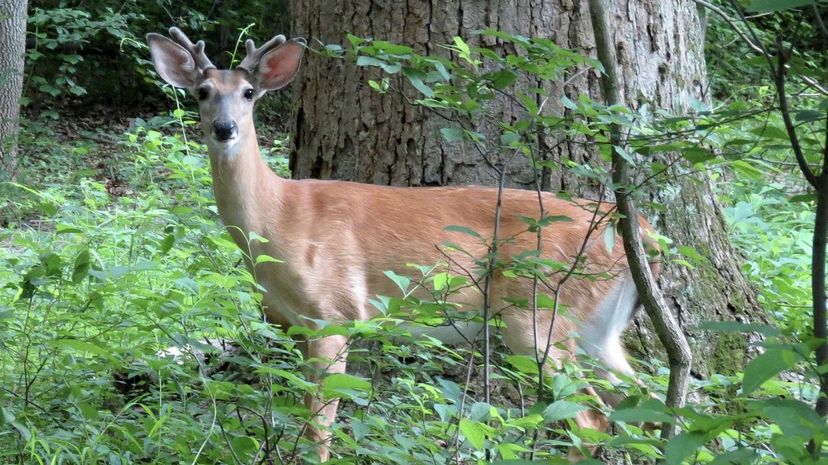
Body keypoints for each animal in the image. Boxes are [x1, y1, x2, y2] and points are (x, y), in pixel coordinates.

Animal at [146, 29, 656, 460]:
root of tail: (640, 231)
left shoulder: (334, 312)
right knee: (644, 402)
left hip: (538, 311)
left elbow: (318, 430)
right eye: (202, 92)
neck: (281, 218)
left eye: (249, 93)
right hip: (596, 329)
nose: (224, 128)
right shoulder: (291, 323)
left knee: (591, 418)